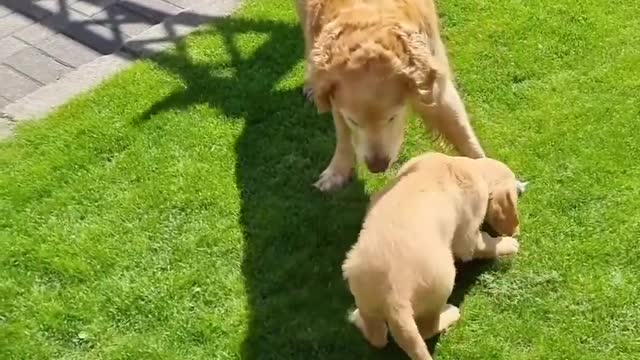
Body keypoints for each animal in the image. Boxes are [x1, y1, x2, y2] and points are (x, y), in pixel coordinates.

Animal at [296, 1, 484, 193]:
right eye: (354, 121)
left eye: (393, 117)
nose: (377, 167)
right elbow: (344, 135)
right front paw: (336, 172)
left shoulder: (437, 88)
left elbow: (463, 133)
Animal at [342, 153, 524, 358]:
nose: (521, 188)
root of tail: (395, 298)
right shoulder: (468, 237)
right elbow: (485, 244)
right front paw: (509, 244)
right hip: (442, 285)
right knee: (426, 329)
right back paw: (451, 313)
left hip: (362, 293)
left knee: (377, 338)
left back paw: (356, 318)